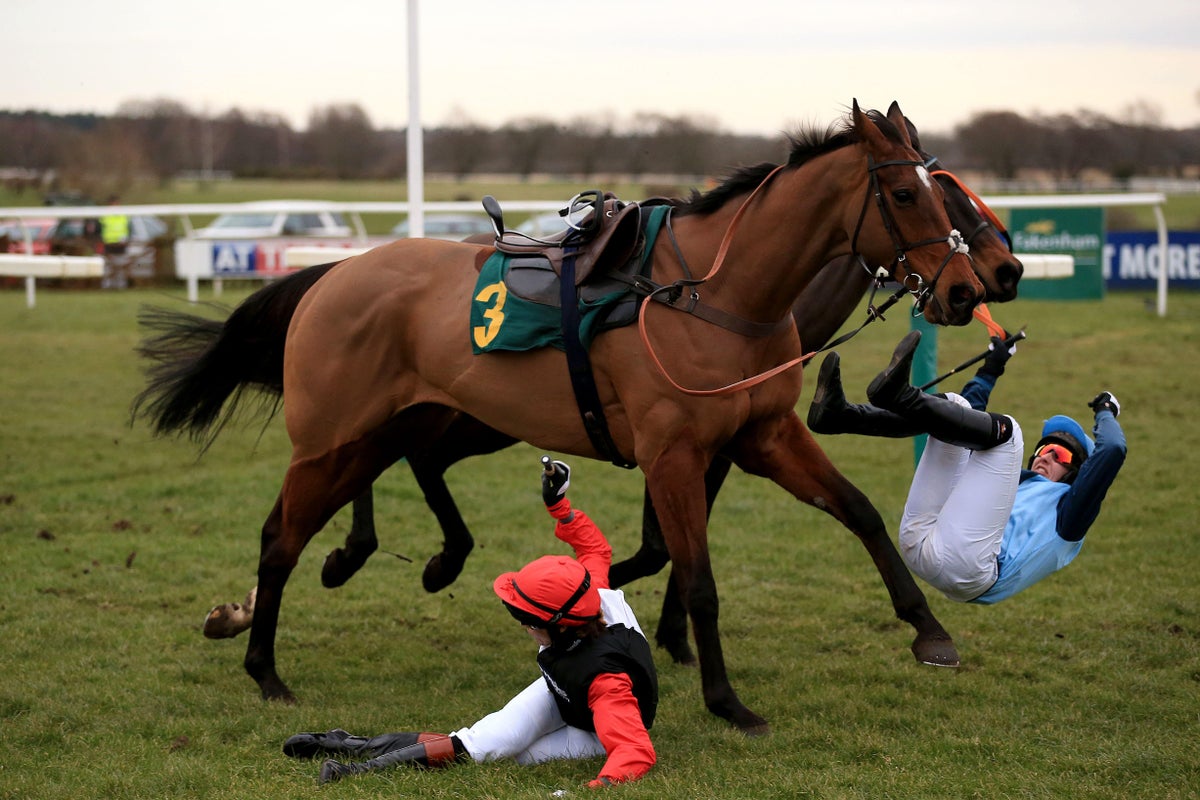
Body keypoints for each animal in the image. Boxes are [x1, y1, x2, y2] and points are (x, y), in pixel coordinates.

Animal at [138, 103, 984, 734]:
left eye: (947, 195)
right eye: (906, 196)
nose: (968, 290)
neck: (716, 294)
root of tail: (330, 276)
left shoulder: (765, 435)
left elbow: (860, 511)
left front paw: (929, 631)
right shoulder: (674, 454)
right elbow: (697, 577)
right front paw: (726, 701)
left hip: (407, 424)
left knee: (375, 493)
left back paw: (357, 570)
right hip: (333, 437)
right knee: (279, 539)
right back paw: (266, 667)